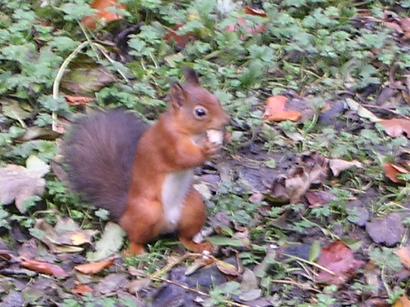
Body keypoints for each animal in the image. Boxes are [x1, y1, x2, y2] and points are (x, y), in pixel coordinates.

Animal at [64, 69, 231, 255]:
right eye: (200, 112)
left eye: (216, 99)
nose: (227, 121)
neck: (190, 132)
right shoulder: (167, 141)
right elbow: (182, 157)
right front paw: (206, 150)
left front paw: (225, 138)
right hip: (147, 213)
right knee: (136, 237)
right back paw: (136, 251)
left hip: (194, 209)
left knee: (184, 237)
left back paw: (199, 246)